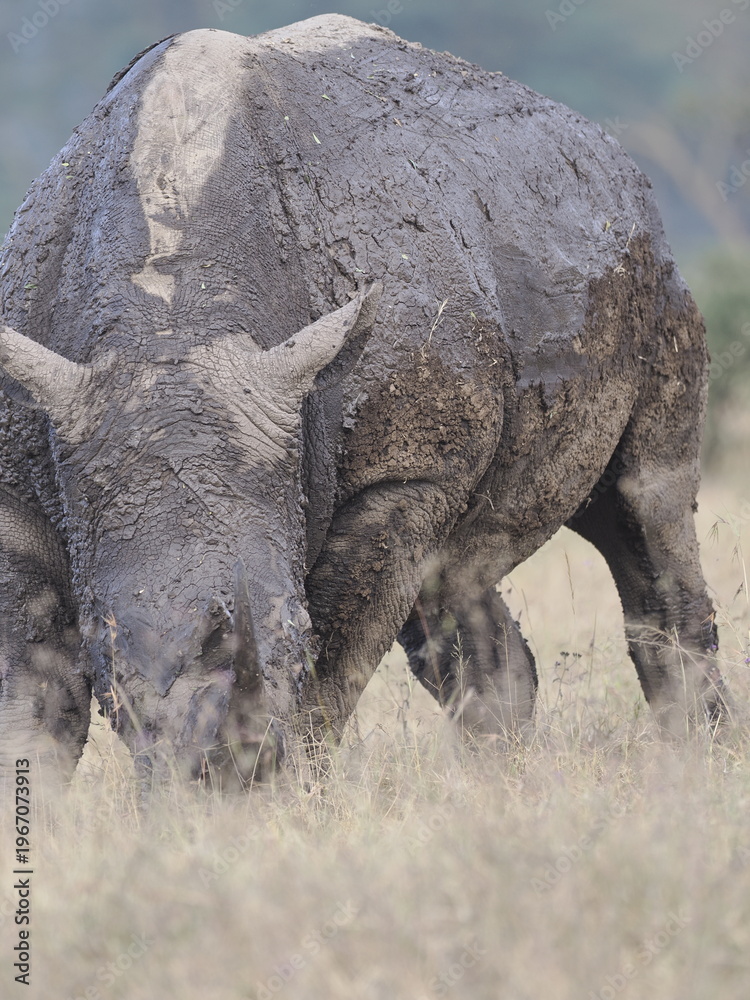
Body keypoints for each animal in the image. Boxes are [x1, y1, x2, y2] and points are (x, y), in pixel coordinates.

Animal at [0, 14, 730, 785]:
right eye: (106, 659)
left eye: (290, 640)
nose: (220, 775)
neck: (172, 321)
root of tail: (606, 153)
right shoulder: (28, 479)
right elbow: (36, 692)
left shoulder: (403, 473)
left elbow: (334, 667)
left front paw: (294, 792)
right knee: (458, 583)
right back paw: (503, 776)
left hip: (651, 275)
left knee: (645, 503)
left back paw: (699, 764)